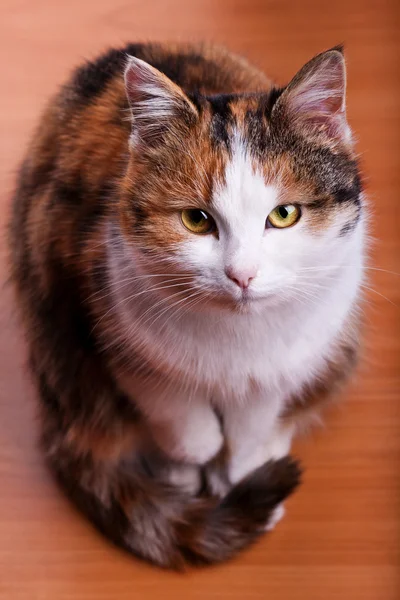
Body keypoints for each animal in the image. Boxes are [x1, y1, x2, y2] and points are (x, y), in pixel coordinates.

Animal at [8, 42, 366, 568]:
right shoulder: (102, 313)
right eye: (196, 220)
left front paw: (238, 462)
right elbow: (176, 411)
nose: (242, 275)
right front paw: (198, 455)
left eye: (284, 214)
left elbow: (254, 417)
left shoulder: (292, 353)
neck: (236, 337)